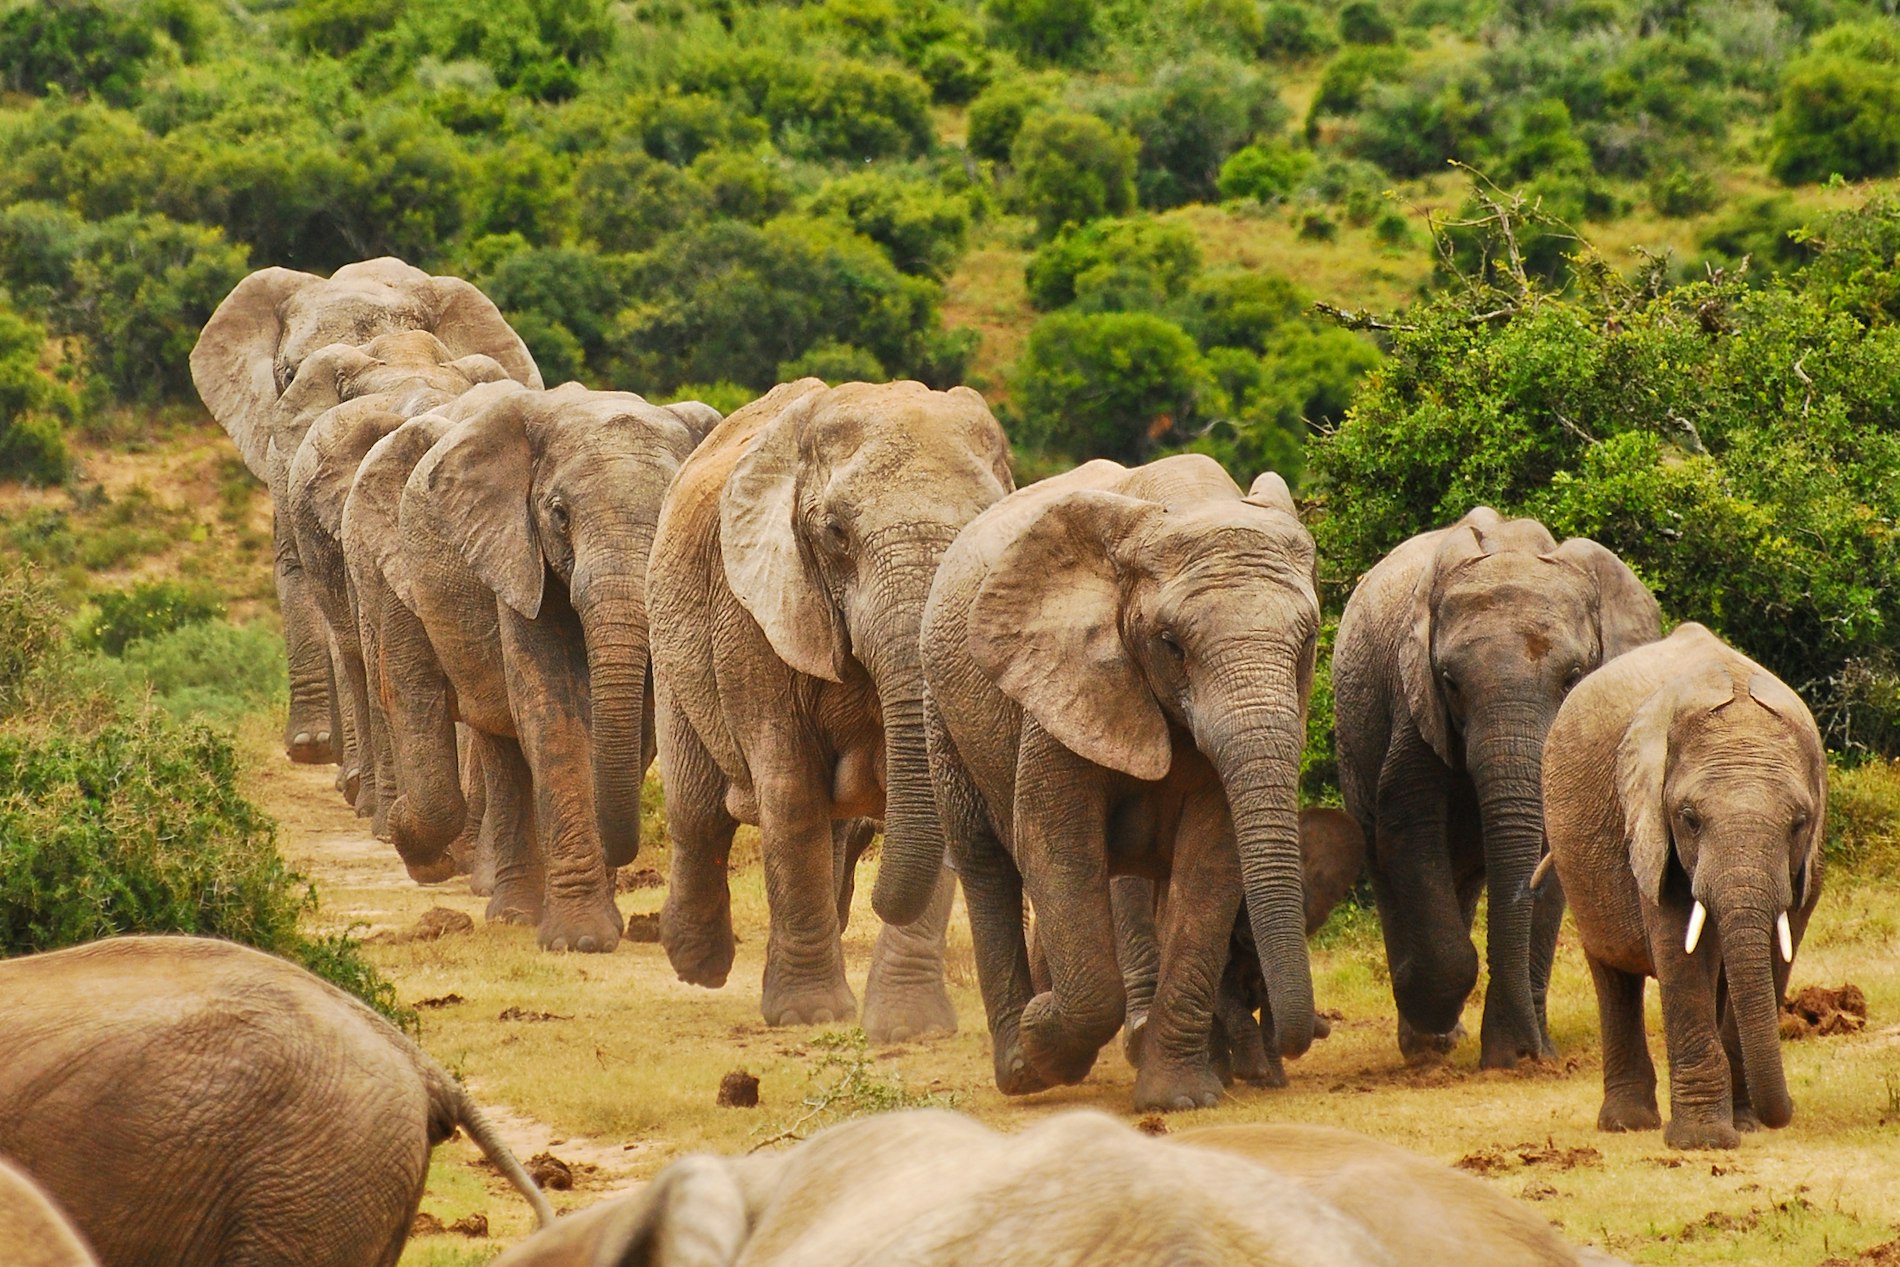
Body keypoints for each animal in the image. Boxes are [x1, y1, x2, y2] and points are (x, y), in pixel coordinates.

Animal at [393, 383, 715, 952]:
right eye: (560, 514)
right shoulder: (515, 553)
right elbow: (553, 716)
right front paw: (580, 939)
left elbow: (641, 726)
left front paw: (604, 925)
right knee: (502, 744)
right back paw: (514, 914)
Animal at [651, 379, 1013, 1039]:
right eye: (836, 533)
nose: (878, 900)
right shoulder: (753, 611)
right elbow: (791, 792)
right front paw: (810, 1016)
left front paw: (910, 1028)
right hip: (671, 637)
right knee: (698, 812)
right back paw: (698, 965)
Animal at [922, 454, 1321, 1111]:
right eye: (1172, 645)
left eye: (1308, 642)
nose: (1297, 1039)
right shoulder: (1059, 680)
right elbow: (1054, 845)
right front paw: (1042, 1034)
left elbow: (1211, 864)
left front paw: (1179, 1099)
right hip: (941, 708)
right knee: (985, 863)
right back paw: (1020, 1070)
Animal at [1332, 507, 1660, 1068]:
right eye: (1450, 682)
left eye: (1573, 676)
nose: (1536, 1055)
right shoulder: (1413, 703)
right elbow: (1407, 826)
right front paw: (1436, 1022)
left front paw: (1514, 1055)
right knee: (1385, 860)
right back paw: (1427, 1040)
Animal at [1542, 621, 1827, 1150]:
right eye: (1689, 819)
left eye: (1799, 822)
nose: (1786, 1113)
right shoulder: (1651, 832)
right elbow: (1681, 951)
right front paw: (1704, 1142)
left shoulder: (1807, 865)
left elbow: (1778, 951)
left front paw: (1743, 1125)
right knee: (1612, 973)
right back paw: (1626, 1122)